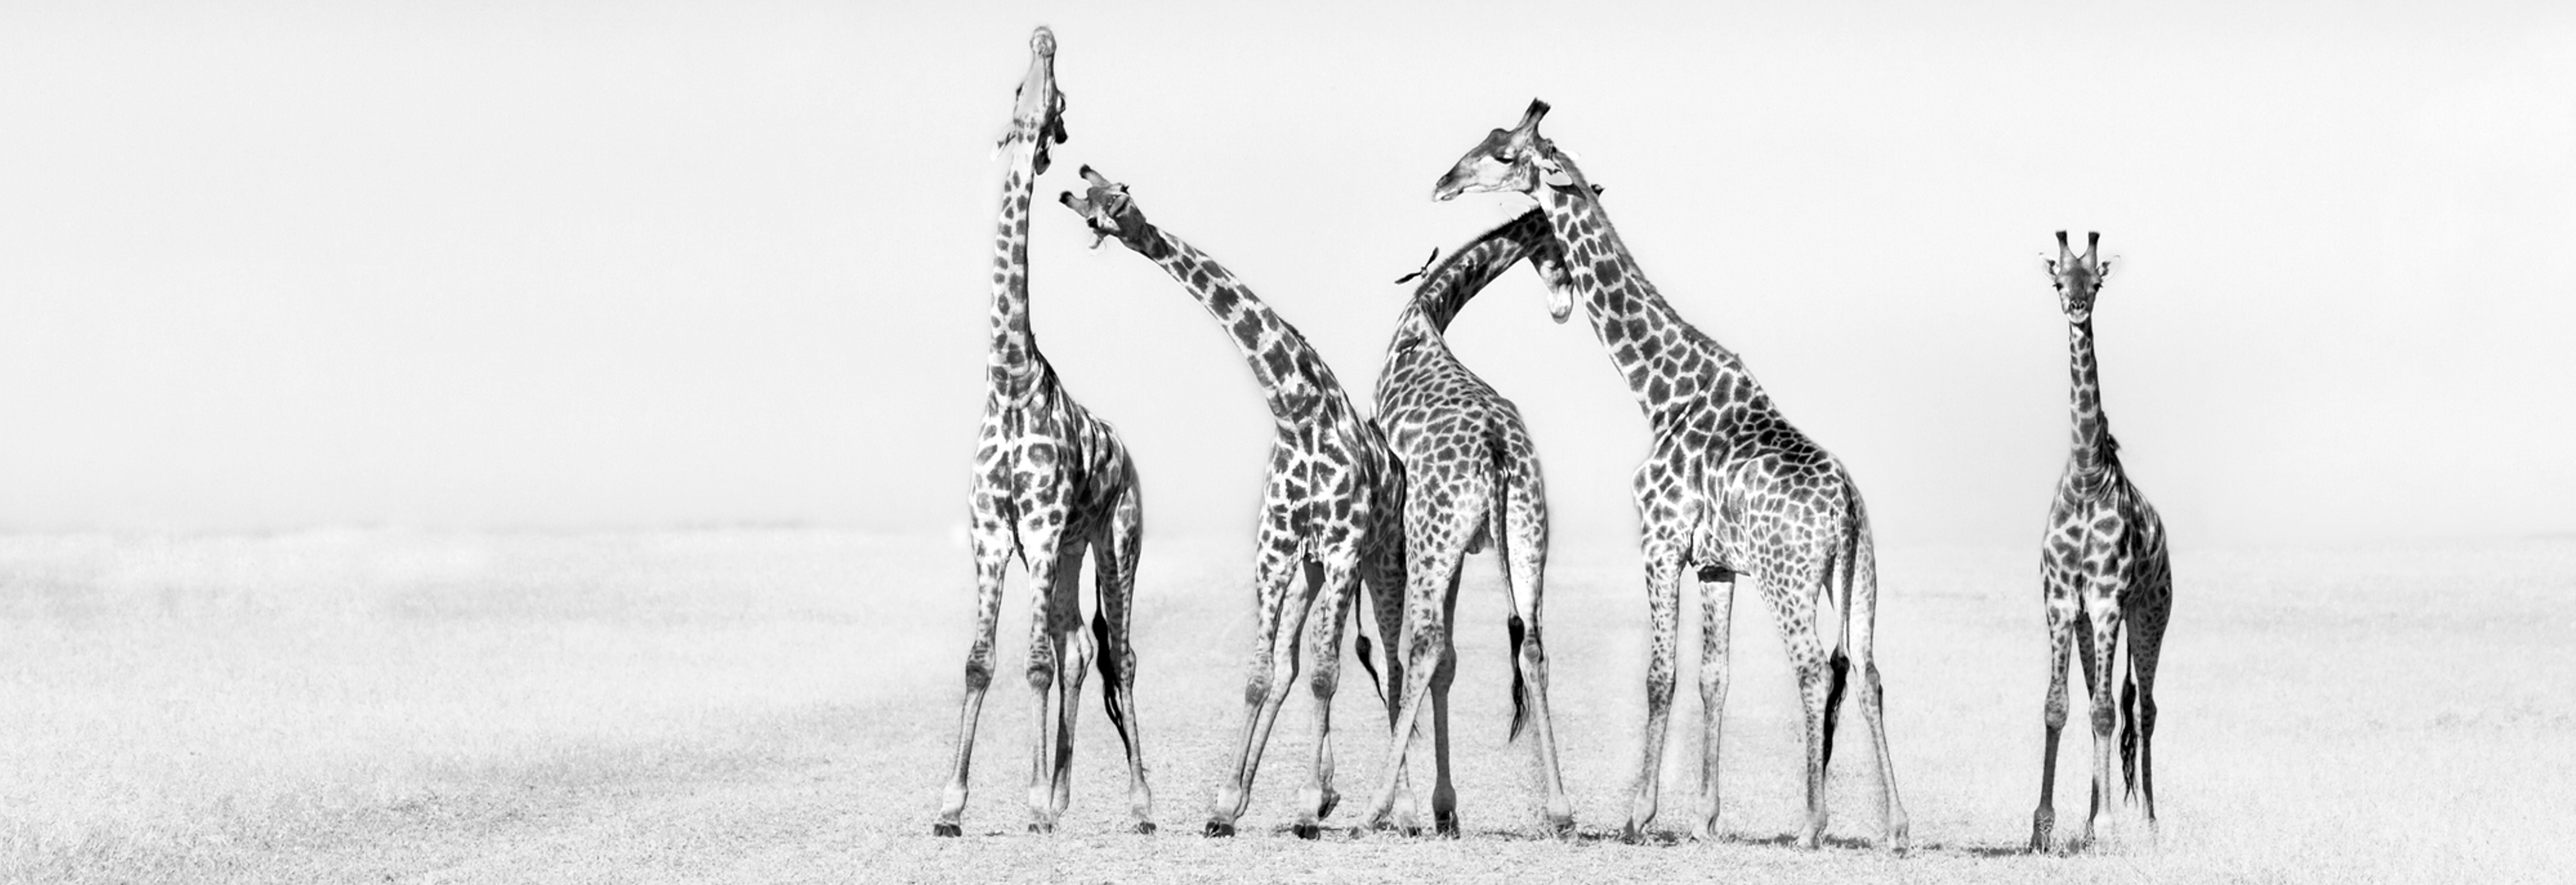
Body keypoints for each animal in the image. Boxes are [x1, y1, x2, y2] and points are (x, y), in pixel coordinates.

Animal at [933, 27, 1154, 837]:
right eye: (1019, 90)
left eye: (1055, 100)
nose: (1044, 38)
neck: (1009, 378)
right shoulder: (995, 528)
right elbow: (981, 659)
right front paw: (952, 805)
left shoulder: (1038, 518)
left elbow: (1028, 660)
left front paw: (1027, 801)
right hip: (1061, 553)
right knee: (1078, 647)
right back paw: (1060, 795)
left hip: (1115, 536)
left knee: (1118, 652)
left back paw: (1140, 804)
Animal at [1058, 166, 1412, 839]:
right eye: (1087, 207)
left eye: (1115, 201)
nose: (1071, 197)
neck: (1298, 413)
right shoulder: (1275, 551)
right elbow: (1260, 675)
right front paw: (1225, 805)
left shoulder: (1344, 546)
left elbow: (1328, 673)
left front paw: (1305, 805)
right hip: (1312, 570)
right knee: (1294, 665)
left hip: (1380, 562)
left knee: (1395, 663)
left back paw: (1398, 808)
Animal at [1363, 209, 1577, 835]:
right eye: (1558, 243)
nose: (1564, 306)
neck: (1425, 312)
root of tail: (1496, 453)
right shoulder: (1467, 546)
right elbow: (1454, 664)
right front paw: (1445, 807)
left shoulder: (1428, 539)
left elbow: (1430, 654)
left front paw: (1432, 808)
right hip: (1527, 533)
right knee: (1532, 647)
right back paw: (1560, 811)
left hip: (1430, 534)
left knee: (1423, 644)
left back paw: (1376, 805)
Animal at [1431, 101, 1908, 850]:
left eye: (1505, 155)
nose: (1443, 183)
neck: (1659, 392)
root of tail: (1847, 512)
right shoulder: (1714, 562)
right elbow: (1714, 674)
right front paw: (1705, 818)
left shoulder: (1660, 540)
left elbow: (1660, 673)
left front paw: (1638, 813)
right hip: (1858, 575)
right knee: (1867, 671)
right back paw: (1895, 825)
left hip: (1789, 577)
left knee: (1810, 668)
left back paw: (1812, 822)